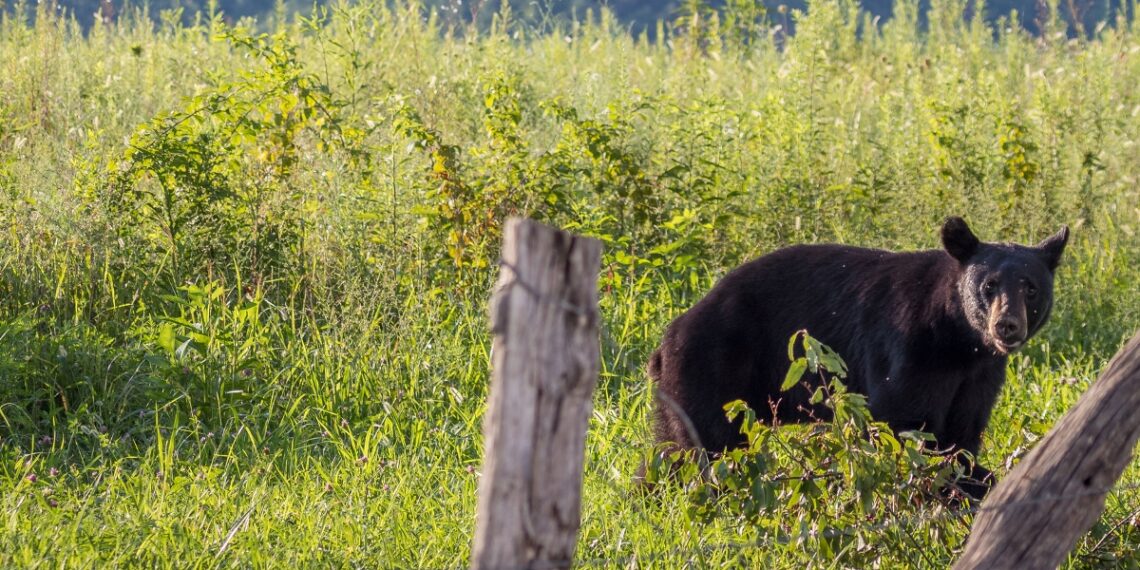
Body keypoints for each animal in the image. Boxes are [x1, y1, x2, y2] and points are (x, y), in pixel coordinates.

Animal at [648, 217, 1069, 499]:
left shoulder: (980, 375)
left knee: (670, 450)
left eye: (1030, 288)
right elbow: (900, 423)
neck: (959, 339)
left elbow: (963, 433)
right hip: (713, 369)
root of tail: (667, 339)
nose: (1006, 325)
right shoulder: (909, 349)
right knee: (712, 447)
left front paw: (973, 482)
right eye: (989, 285)